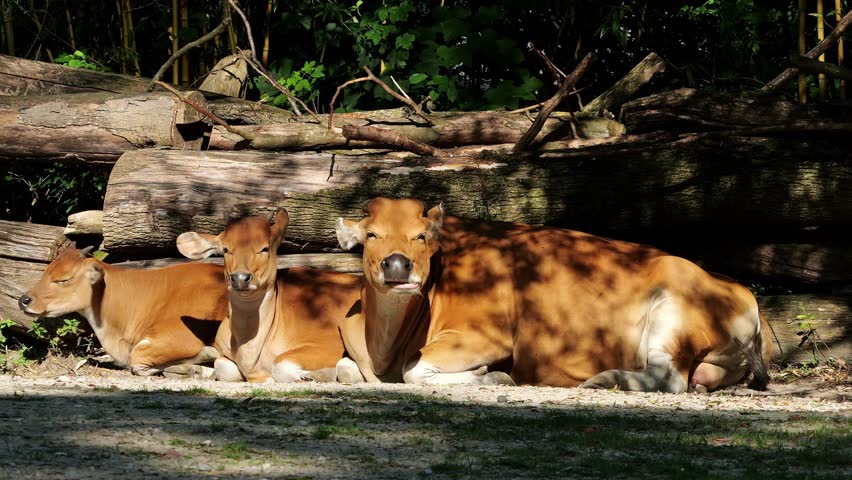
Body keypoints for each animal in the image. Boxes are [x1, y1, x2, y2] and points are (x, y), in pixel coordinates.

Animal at [176, 209, 362, 383]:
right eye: (225, 249)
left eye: (265, 248)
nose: (240, 278)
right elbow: (221, 365)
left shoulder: (329, 344)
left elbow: (280, 365)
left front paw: (317, 375)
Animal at [333, 197, 772, 393]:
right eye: (371, 235)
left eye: (421, 236)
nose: (397, 264)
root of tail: (743, 292)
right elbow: (344, 368)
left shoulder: (484, 338)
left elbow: (415, 370)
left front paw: (494, 376)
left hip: (672, 312)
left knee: (669, 377)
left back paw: (604, 379)